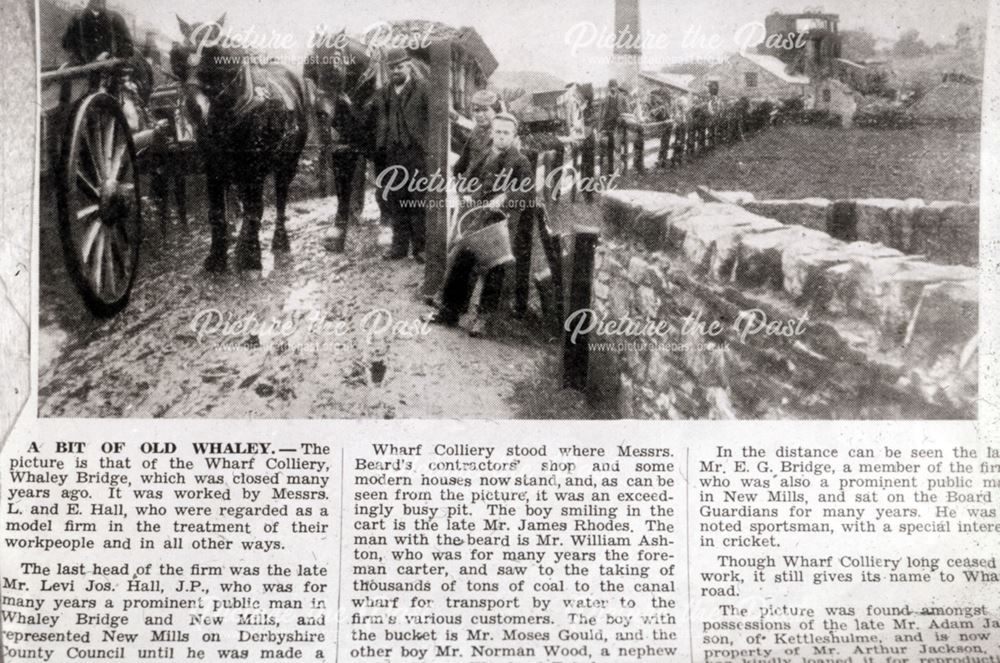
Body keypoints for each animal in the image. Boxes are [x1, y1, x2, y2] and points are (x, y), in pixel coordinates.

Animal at [172, 15, 306, 272]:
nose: (194, 109)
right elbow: (217, 212)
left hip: (287, 163)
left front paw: (250, 256)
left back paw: (279, 240)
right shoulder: (214, 166)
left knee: (280, 196)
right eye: (178, 55)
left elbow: (256, 208)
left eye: (214, 53)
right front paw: (217, 256)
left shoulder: (254, 167)